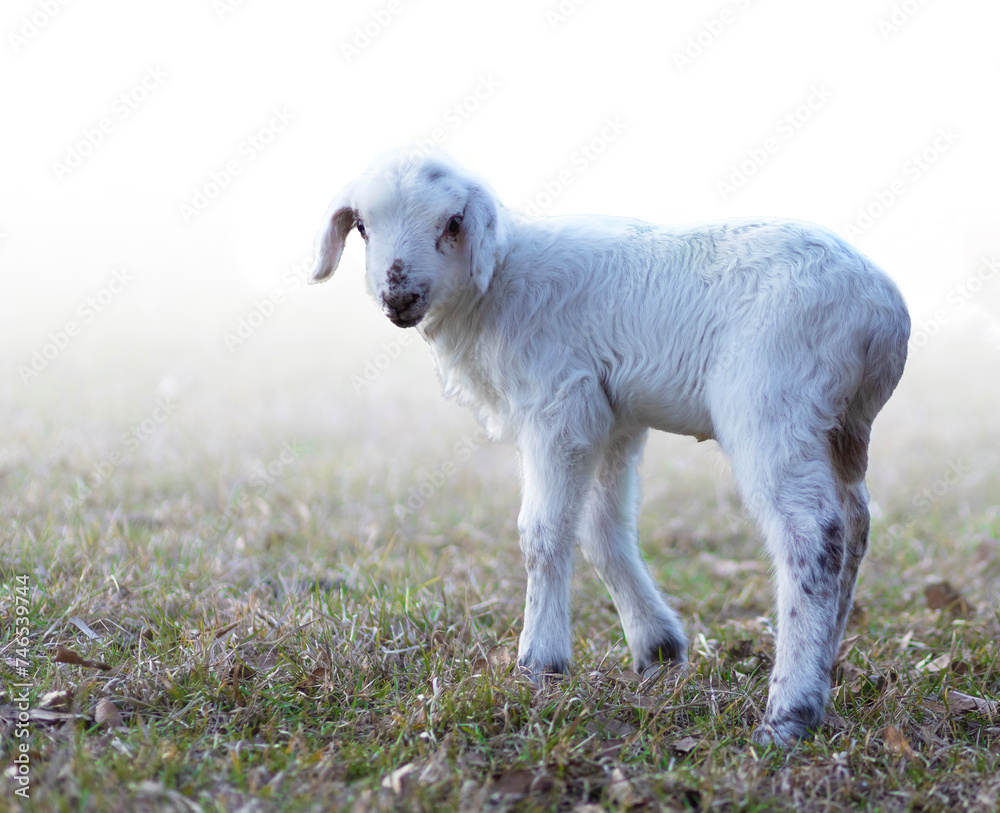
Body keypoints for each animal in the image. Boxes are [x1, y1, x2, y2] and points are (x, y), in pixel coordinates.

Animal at [308, 148, 910, 745]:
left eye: (453, 222)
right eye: (362, 227)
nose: (398, 296)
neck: (499, 284)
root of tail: (882, 312)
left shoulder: (560, 405)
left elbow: (542, 532)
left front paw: (540, 664)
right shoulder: (613, 417)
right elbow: (602, 528)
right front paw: (658, 649)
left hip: (773, 402)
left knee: (811, 531)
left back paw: (790, 711)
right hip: (841, 427)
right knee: (855, 522)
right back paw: (826, 664)